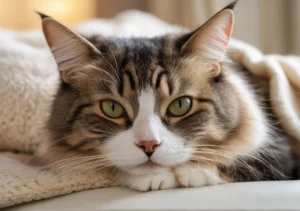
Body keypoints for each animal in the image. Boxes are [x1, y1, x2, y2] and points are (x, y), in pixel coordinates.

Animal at [39, 0, 298, 191]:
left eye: (181, 105)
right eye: (112, 108)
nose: (148, 144)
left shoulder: (281, 153)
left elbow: (242, 163)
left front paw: (194, 171)